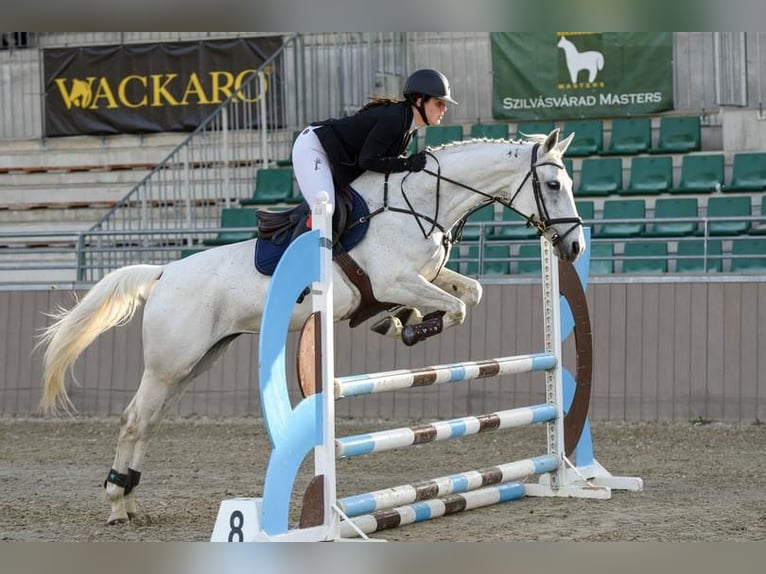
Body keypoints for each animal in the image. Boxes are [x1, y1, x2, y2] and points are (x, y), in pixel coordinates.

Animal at [39, 129, 584, 528]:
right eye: (554, 186)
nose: (574, 247)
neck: (420, 202)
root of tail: (163, 273)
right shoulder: (396, 280)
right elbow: (456, 308)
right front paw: (408, 328)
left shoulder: (422, 278)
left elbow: (469, 294)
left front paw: (399, 322)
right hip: (170, 364)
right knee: (134, 419)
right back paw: (116, 504)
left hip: (197, 361)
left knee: (148, 420)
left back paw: (130, 502)